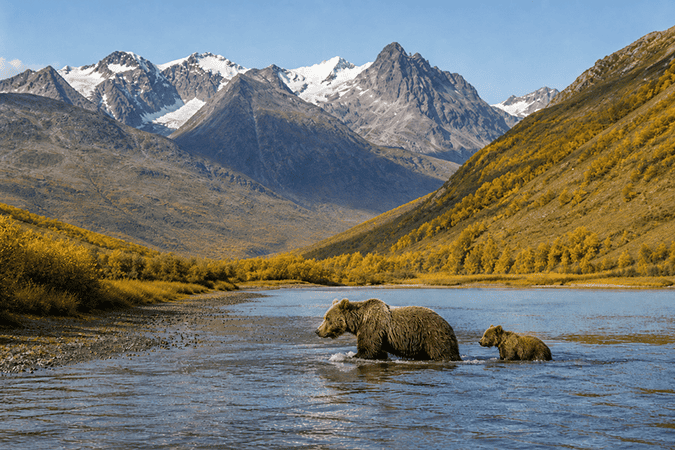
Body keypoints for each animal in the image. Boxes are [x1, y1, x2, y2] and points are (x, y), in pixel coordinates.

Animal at [315, 298, 461, 361]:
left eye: (327, 318)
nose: (317, 331)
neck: (359, 321)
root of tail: (447, 324)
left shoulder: (372, 326)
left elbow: (368, 348)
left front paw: (351, 355)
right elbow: (378, 350)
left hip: (431, 335)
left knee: (442, 352)